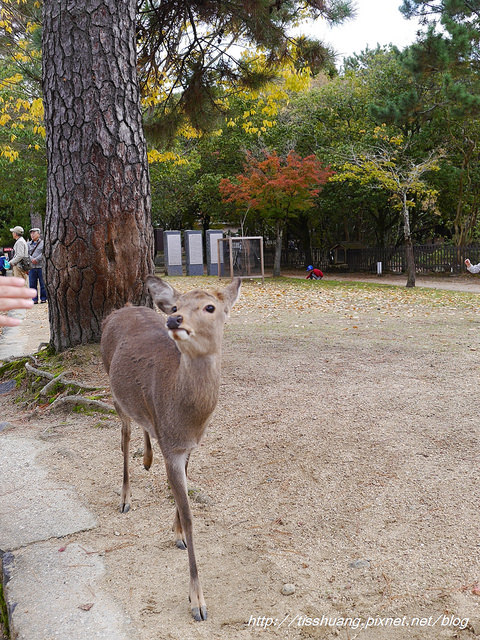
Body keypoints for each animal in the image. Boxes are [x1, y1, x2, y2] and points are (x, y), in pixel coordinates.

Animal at [100, 276, 240, 620]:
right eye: (176, 305)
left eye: (210, 306)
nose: (174, 320)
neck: (188, 419)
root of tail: (120, 309)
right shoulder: (172, 446)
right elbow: (190, 515)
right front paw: (198, 602)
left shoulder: (187, 446)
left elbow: (182, 493)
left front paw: (176, 534)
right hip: (112, 386)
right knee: (124, 435)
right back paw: (125, 498)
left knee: (143, 425)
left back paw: (148, 459)